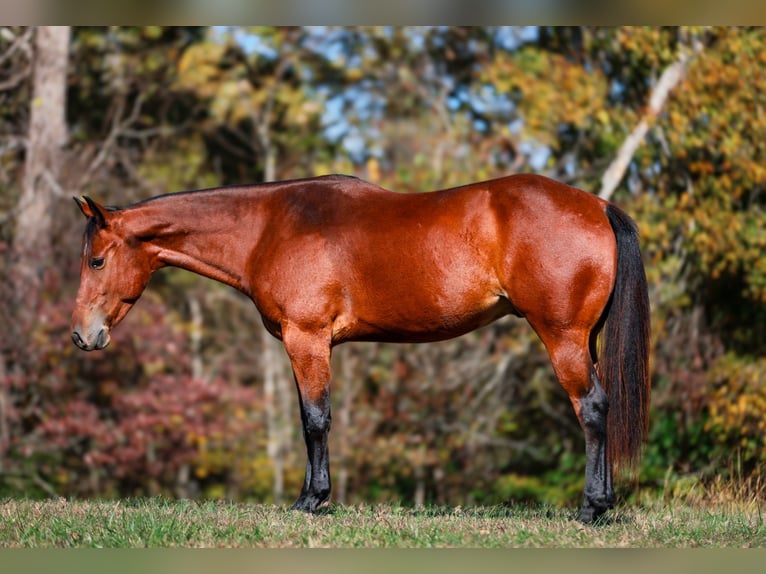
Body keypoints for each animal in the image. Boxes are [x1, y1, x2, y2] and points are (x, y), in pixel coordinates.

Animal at [70, 173, 650, 523]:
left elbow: (315, 420)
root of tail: (598, 205)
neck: (270, 227)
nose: (82, 334)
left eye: (96, 260)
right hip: (584, 339)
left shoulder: (307, 338)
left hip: (563, 337)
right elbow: (308, 419)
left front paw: (312, 501)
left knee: (592, 408)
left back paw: (591, 508)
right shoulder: (304, 343)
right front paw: (311, 496)